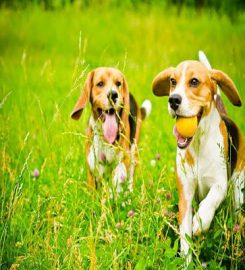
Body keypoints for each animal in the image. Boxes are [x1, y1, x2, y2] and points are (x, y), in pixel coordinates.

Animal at [152, 52, 244, 264]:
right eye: (172, 81)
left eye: (194, 82)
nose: (173, 100)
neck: (198, 143)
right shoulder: (185, 194)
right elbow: (185, 237)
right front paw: (187, 263)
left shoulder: (220, 183)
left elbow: (212, 199)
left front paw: (201, 221)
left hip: (238, 187)